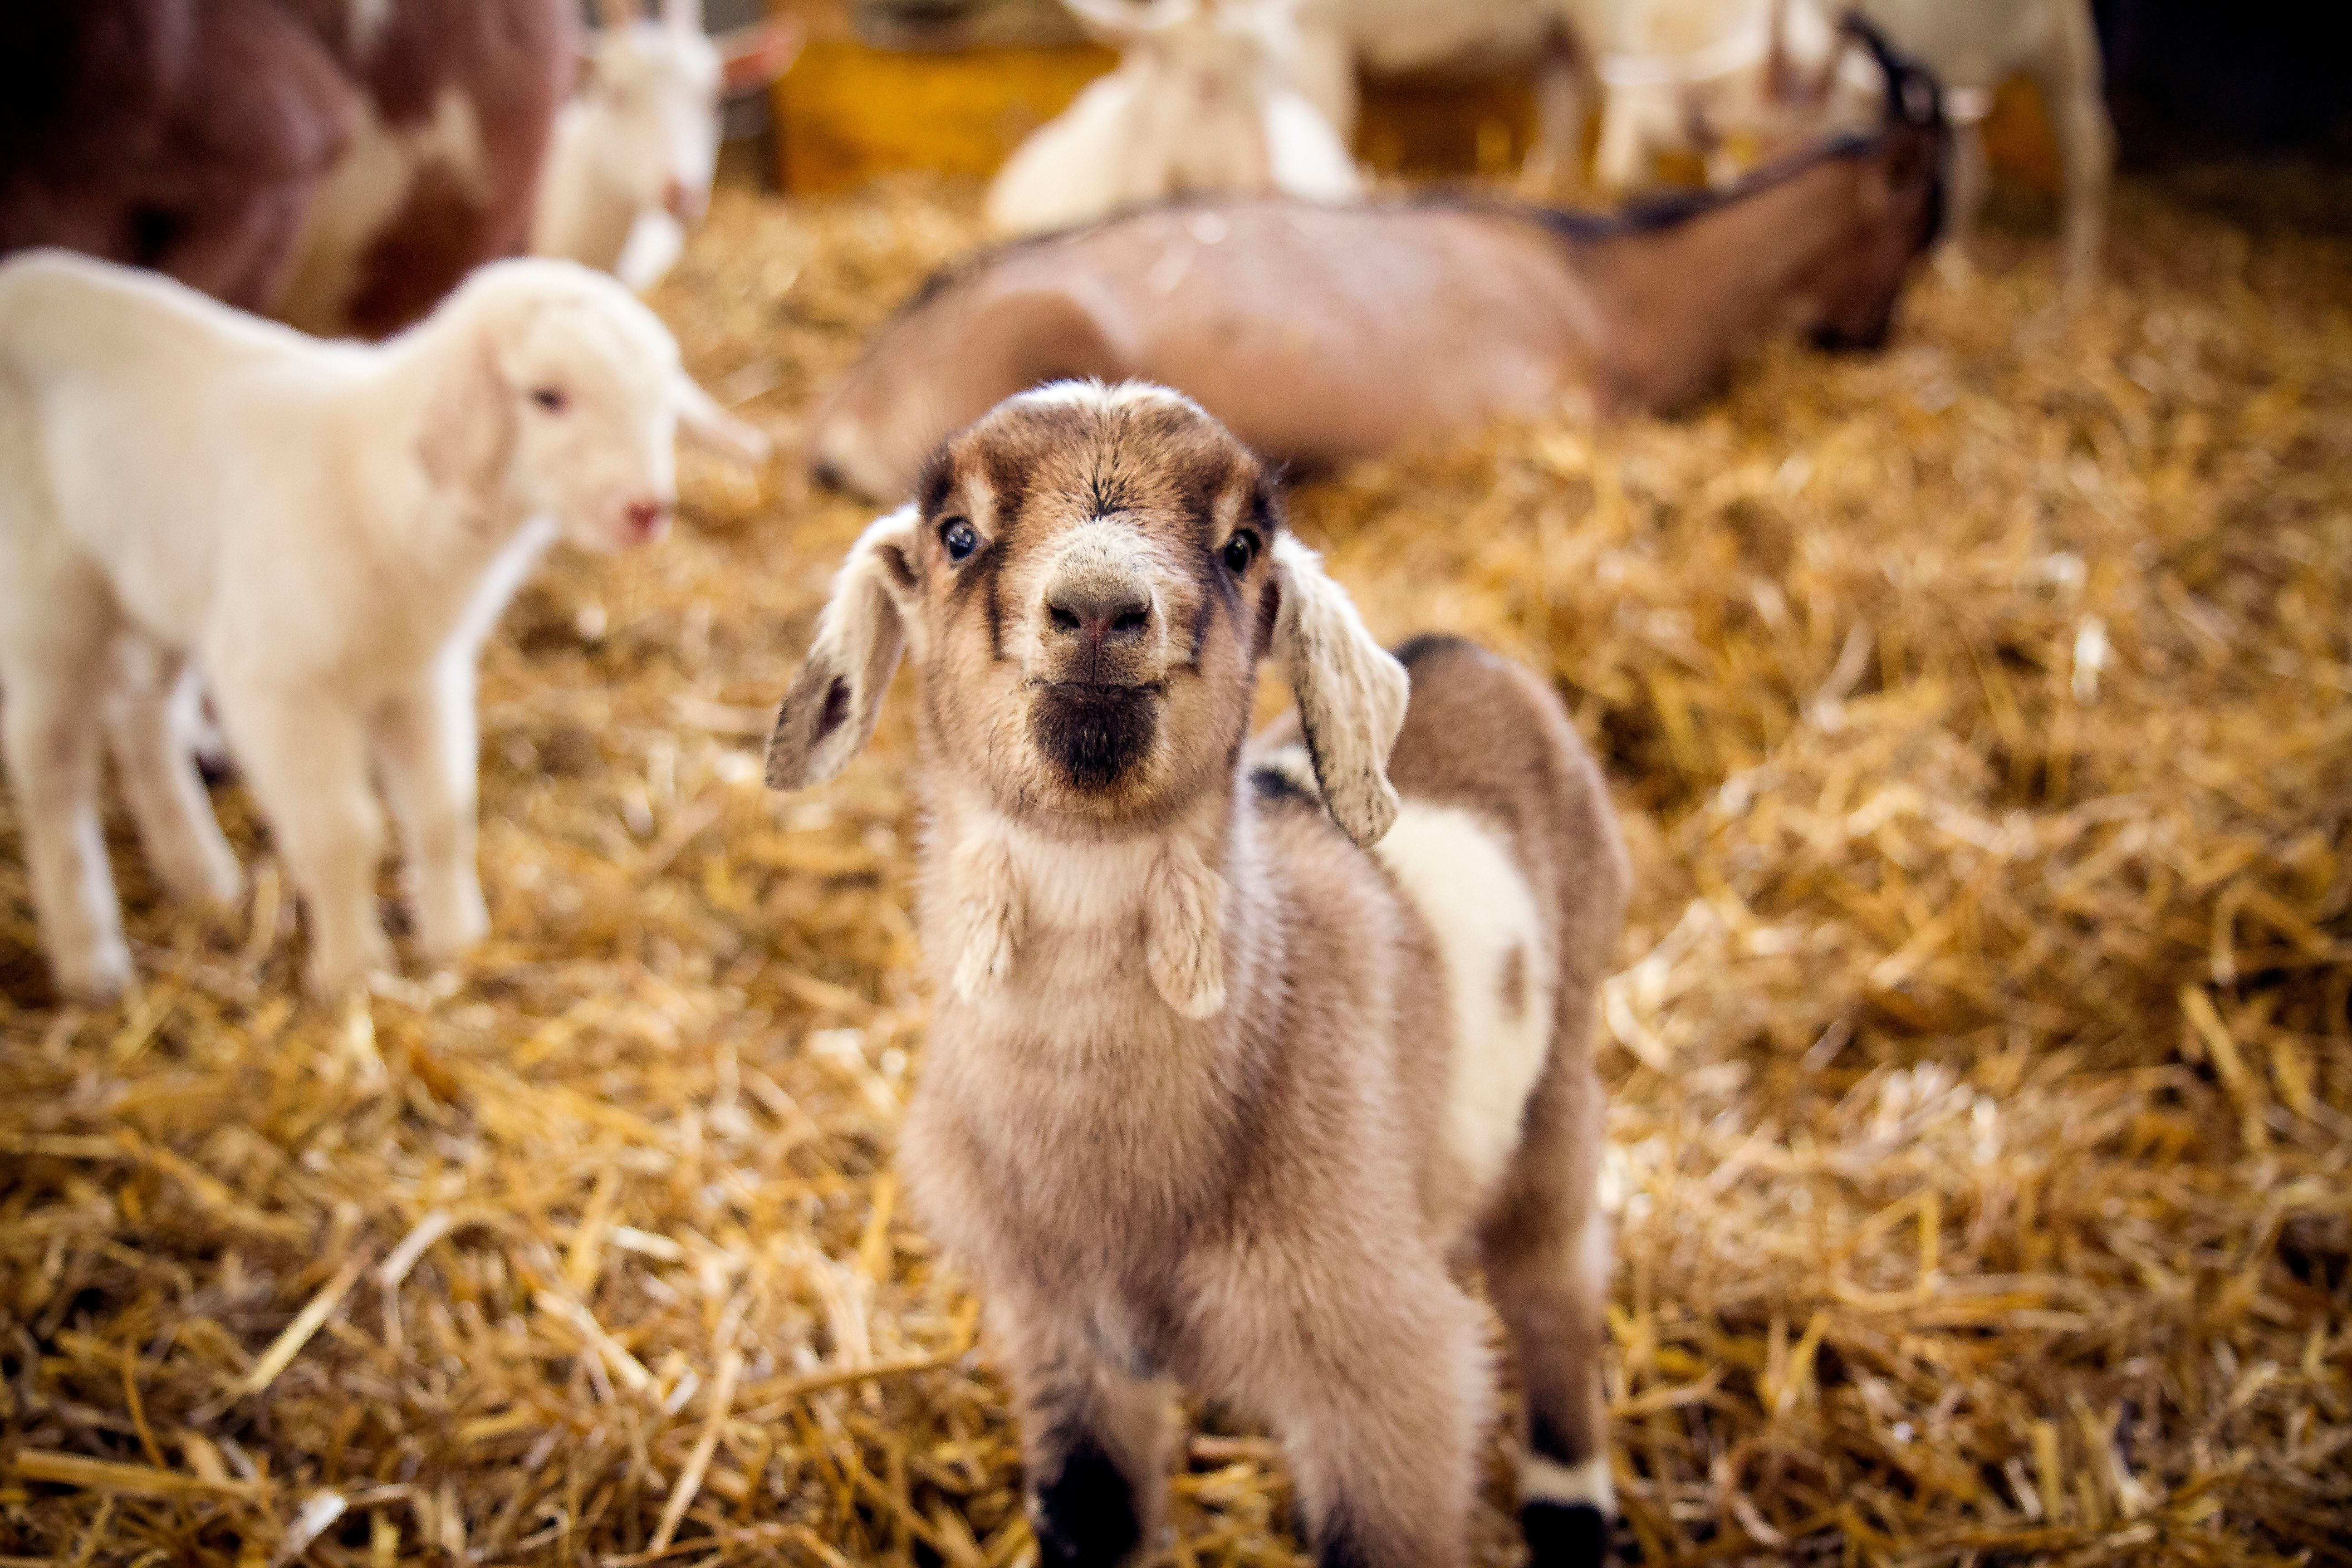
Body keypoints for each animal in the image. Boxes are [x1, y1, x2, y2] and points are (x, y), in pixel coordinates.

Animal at [0, 251, 737, 1003]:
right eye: (547, 397)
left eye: (662, 401)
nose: (647, 510)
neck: (382, 499)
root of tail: (22, 275)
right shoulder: (277, 685)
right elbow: (340, 832)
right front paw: (353, 972)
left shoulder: (421, 673)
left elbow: (443, 809)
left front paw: (456, 941)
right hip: (47, 596)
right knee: (48, 756)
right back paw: (89, 956)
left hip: (154, 578)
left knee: (142, 712)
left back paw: (198, 873)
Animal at [766, 381, 1630, 1568]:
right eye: (957, 533)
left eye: (1240, 545)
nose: (1098, 611)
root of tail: (1460, 648)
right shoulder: (1060, 1338)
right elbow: (1091, 1514)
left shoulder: (1387, 1380)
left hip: (1564, 1062)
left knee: (1554, 1276)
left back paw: (1569, 1499)